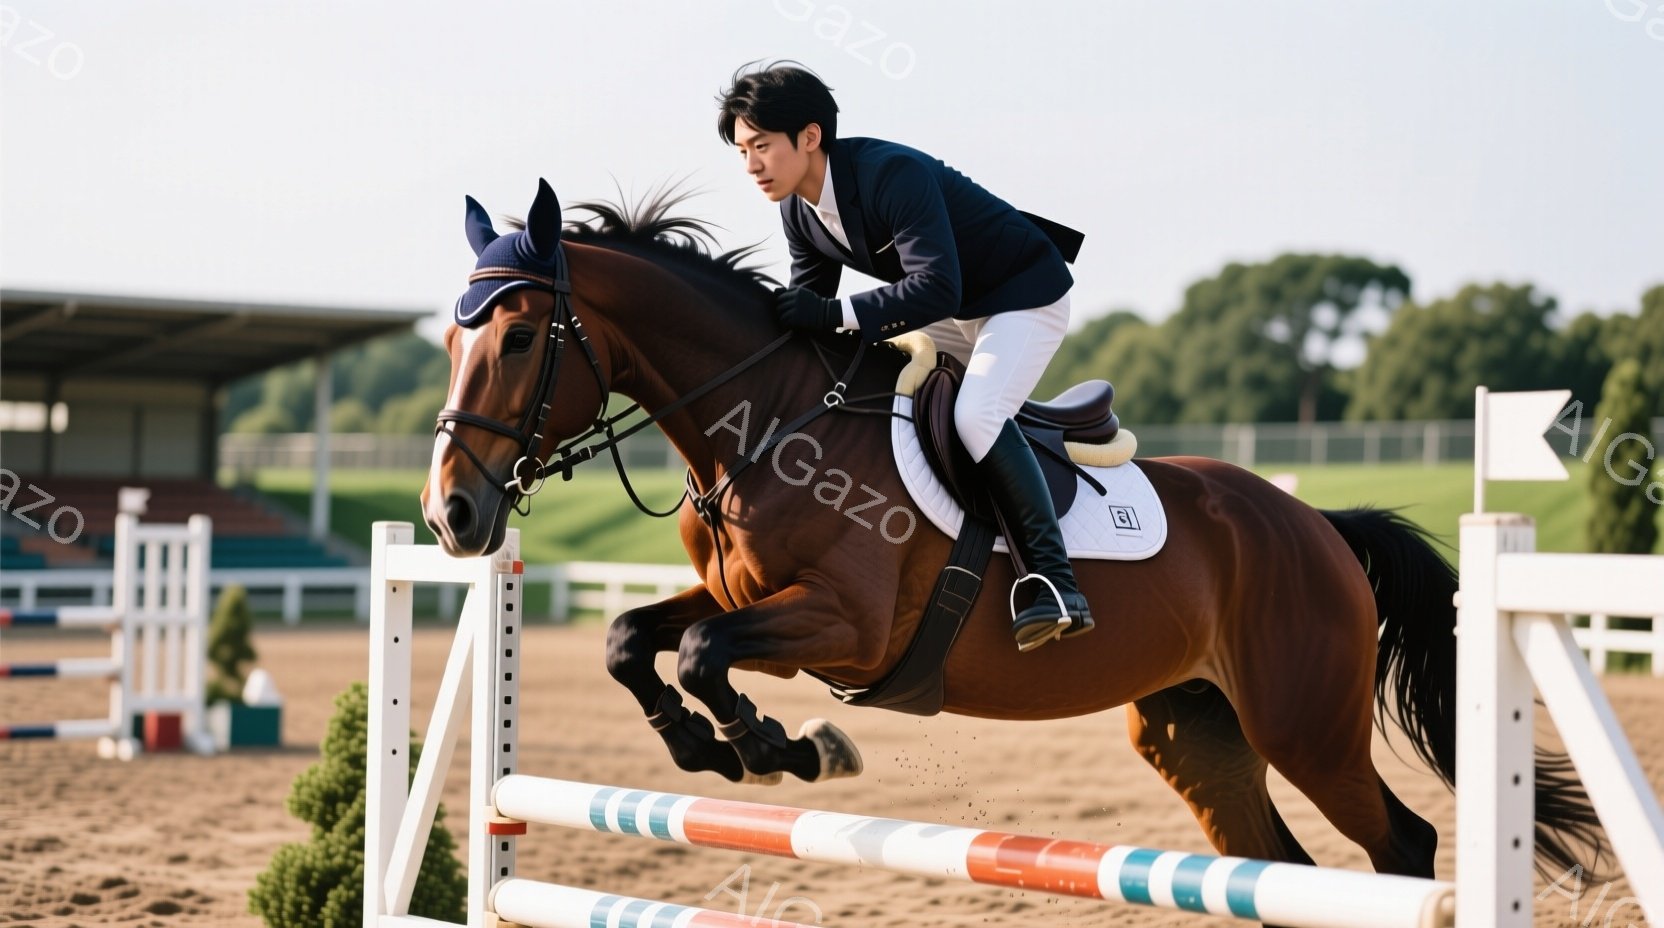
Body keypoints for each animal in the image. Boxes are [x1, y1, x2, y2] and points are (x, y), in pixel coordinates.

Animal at [421, 179, 1601, 894]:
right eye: (447, 341)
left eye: (519, 338)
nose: (453, 516)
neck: (770, 425)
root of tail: (1314, 522)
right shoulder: (748, 598)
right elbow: (634, 638)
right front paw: (704, 746)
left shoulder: (845, 627)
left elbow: (709, 653)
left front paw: (781, 747)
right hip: (1197, 730)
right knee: (1274, 863)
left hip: (1304, 723)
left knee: (1399, 843)